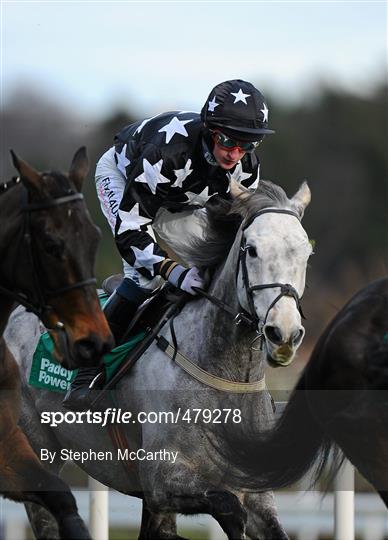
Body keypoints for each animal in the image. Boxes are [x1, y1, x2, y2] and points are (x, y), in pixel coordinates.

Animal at [6, 179, 312, 536]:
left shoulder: (255, 493)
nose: (284, 333)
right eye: (252, 249)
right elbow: (229, 507)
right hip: (38, 452)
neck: (224, 378)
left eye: (305, 253)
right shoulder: (162, 482)